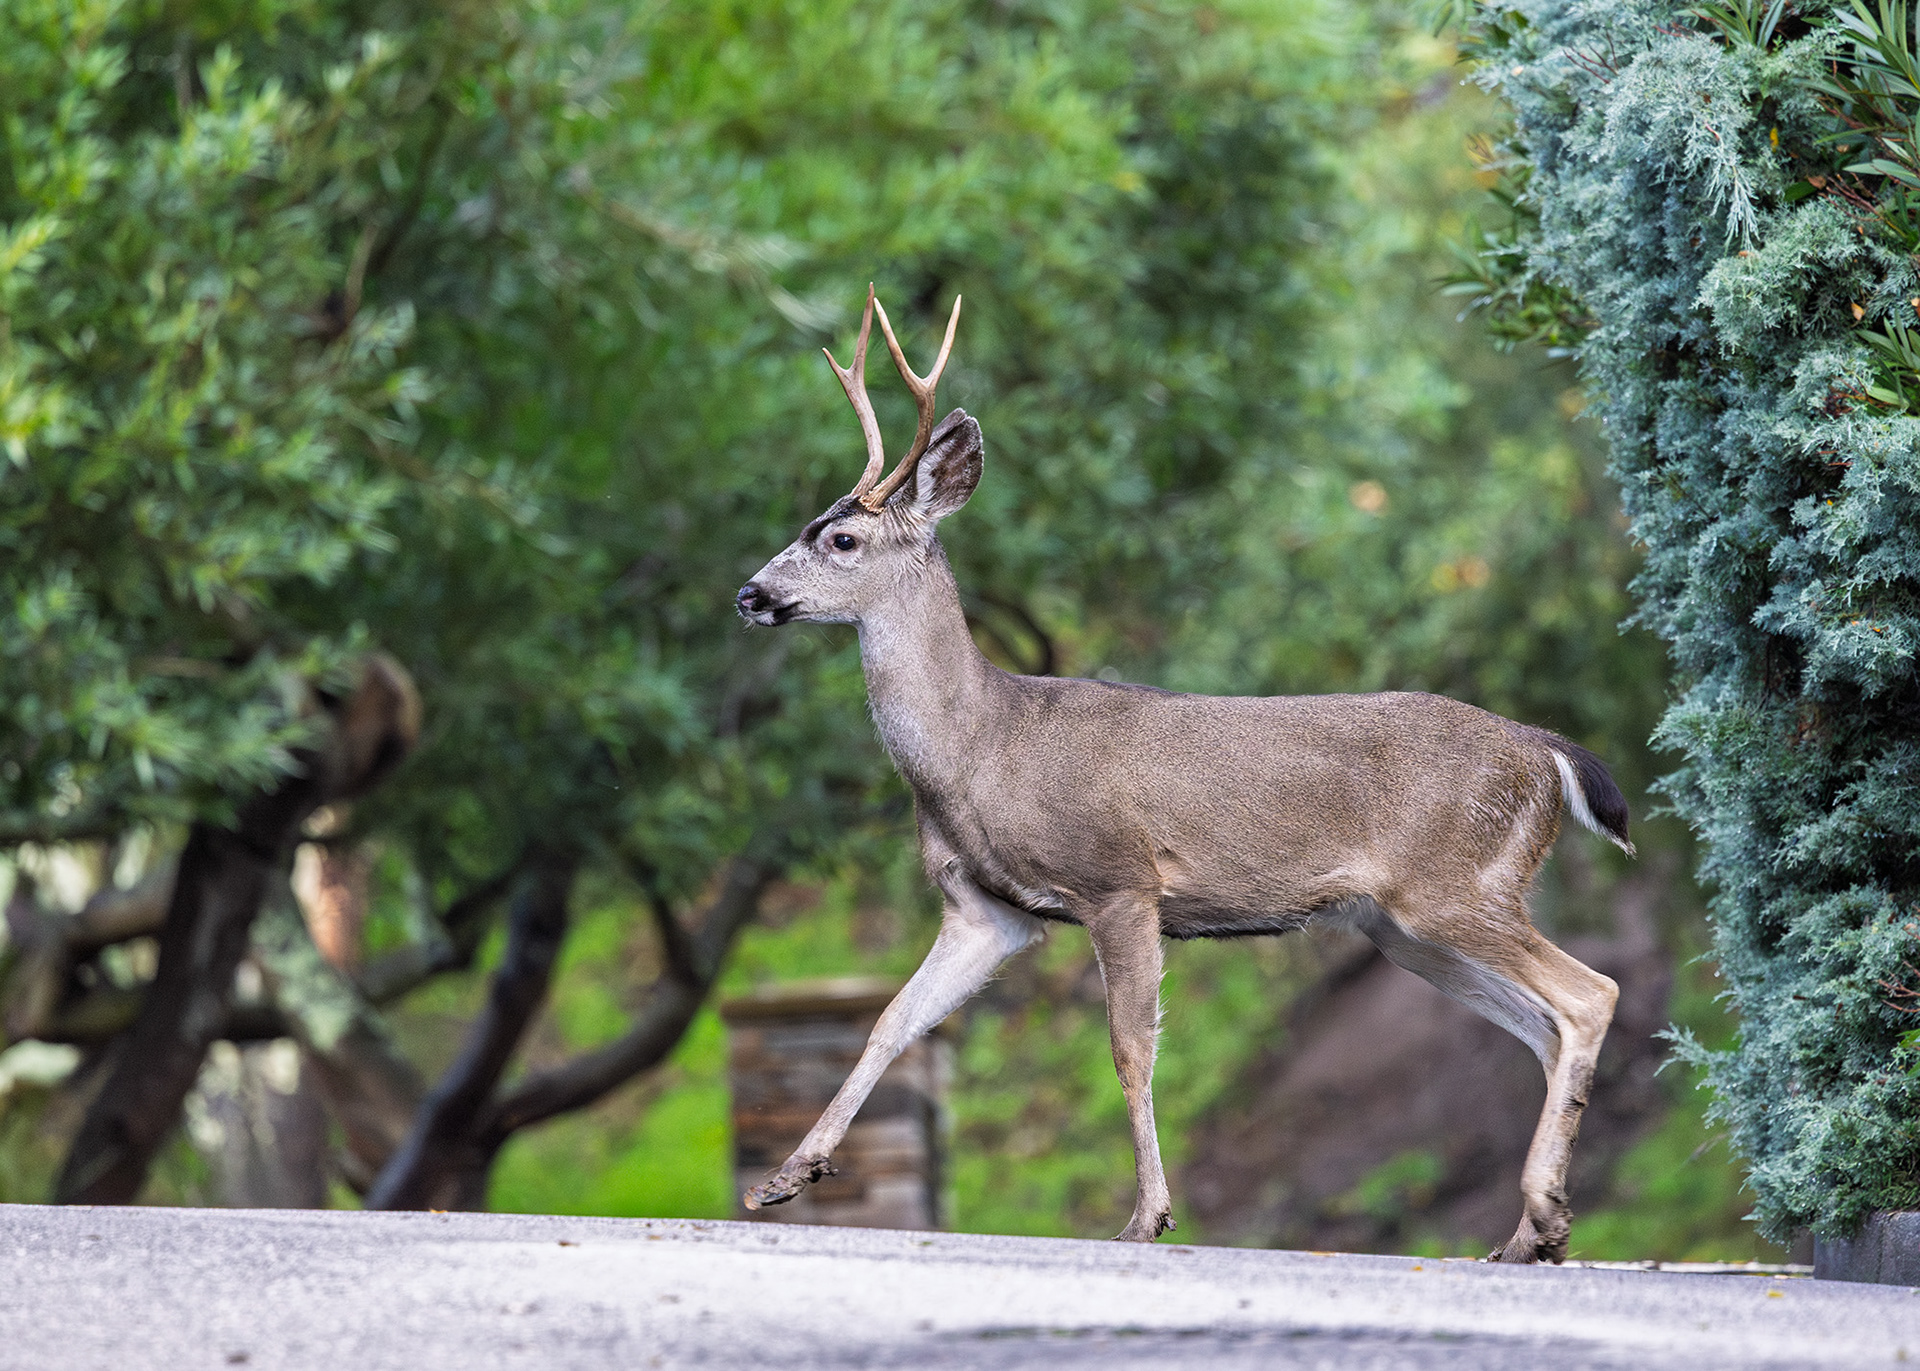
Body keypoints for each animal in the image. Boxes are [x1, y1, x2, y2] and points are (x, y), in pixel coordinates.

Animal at [733, 287, 1630, 1261]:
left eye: (842, 538)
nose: (749, 593)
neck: (981, 747)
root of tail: (1546, 749)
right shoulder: (987, 909)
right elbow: (890, 1020)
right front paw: (784, 1177)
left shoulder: (1120, 880)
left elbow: (1131, 1047)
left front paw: (1146, 1216)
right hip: (1404, 924)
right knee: (1543, 1027)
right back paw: (1530, 1232)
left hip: (1453, 882)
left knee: (1591, 995)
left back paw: (1541, 1214)